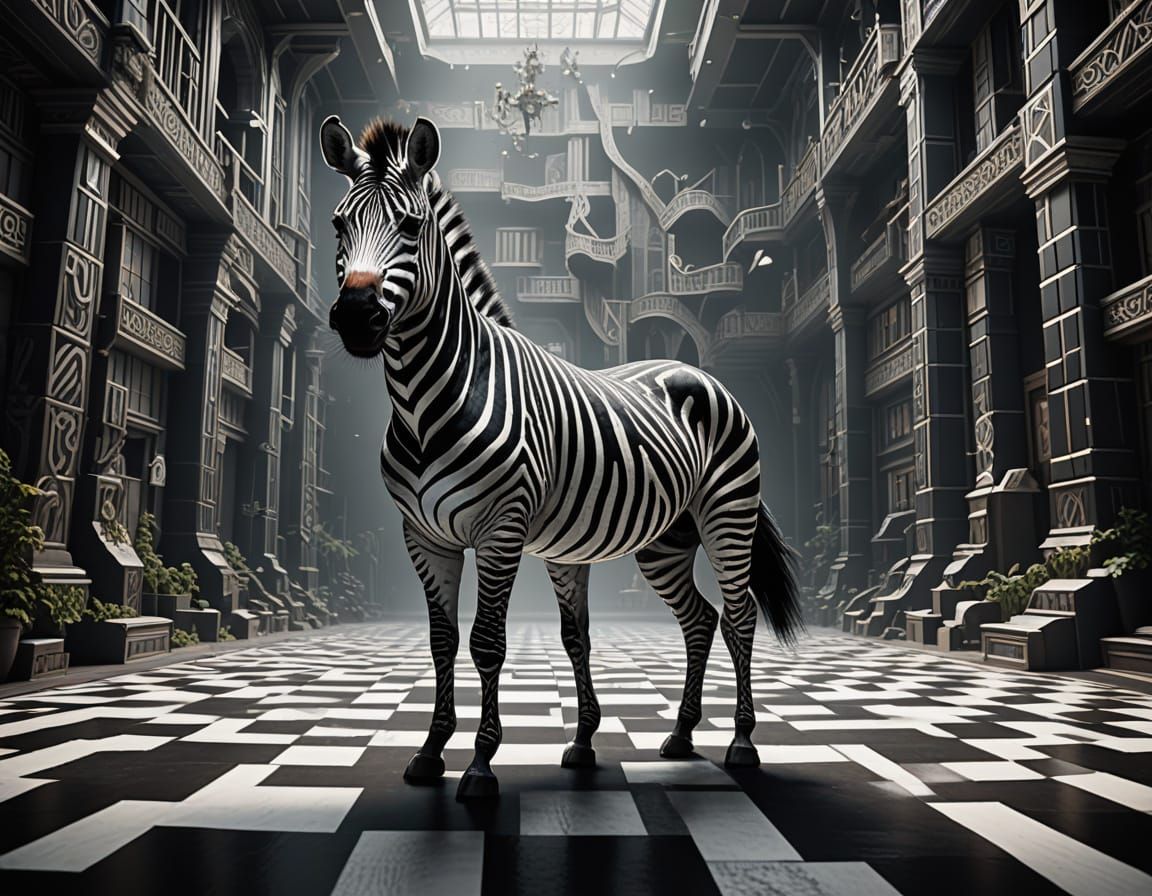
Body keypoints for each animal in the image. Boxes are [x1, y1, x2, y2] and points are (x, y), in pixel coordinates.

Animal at [320, 114, 802, 800]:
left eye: (411, 226)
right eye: (338, 225)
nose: (357, 316)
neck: (423, 401)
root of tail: (697, 370)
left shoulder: (500, 528)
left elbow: (487, 643)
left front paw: (480, 766)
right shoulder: (423, 536)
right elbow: (444, 642)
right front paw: (432, 752)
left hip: (727, 515)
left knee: (738, 616)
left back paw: (740, 743)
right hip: (666, 540)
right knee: (699, 620)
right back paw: (681, 736)